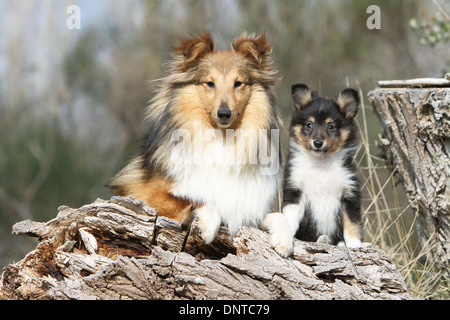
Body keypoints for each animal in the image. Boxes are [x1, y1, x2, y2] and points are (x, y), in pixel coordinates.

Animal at [108, 31, 282, 242]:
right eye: (210, 83)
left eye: (238, 83)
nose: (224, 114)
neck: (222, 137)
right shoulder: (143, 195)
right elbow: (195, 197)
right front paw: (208, 227)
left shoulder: (248, 204)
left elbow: (277, 216)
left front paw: (284, 241)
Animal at [264, 83, 362, 258]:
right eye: (309, 125)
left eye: (331, 126)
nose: (317, 143)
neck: (321, 164)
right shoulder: (295, 191)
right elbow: (289, 218)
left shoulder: (350, 194)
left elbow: (352, 223)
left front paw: (355, 245)